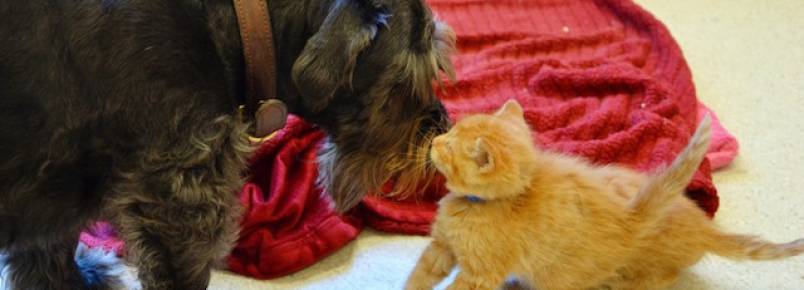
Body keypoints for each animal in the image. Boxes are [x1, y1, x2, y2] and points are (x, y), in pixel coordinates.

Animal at [0, 0, 452, 288]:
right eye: (409, 82)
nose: (442, 131)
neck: (233, 24)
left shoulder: (54, 187)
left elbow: (48, 256)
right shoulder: (181, 203)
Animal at [408, 99, 804, 290]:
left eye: (448, 148)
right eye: (451, 132)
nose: (435, 141)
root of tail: (704, 226)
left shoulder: (480, 273)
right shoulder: (441, 246)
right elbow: (420, 275)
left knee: (663, 278)